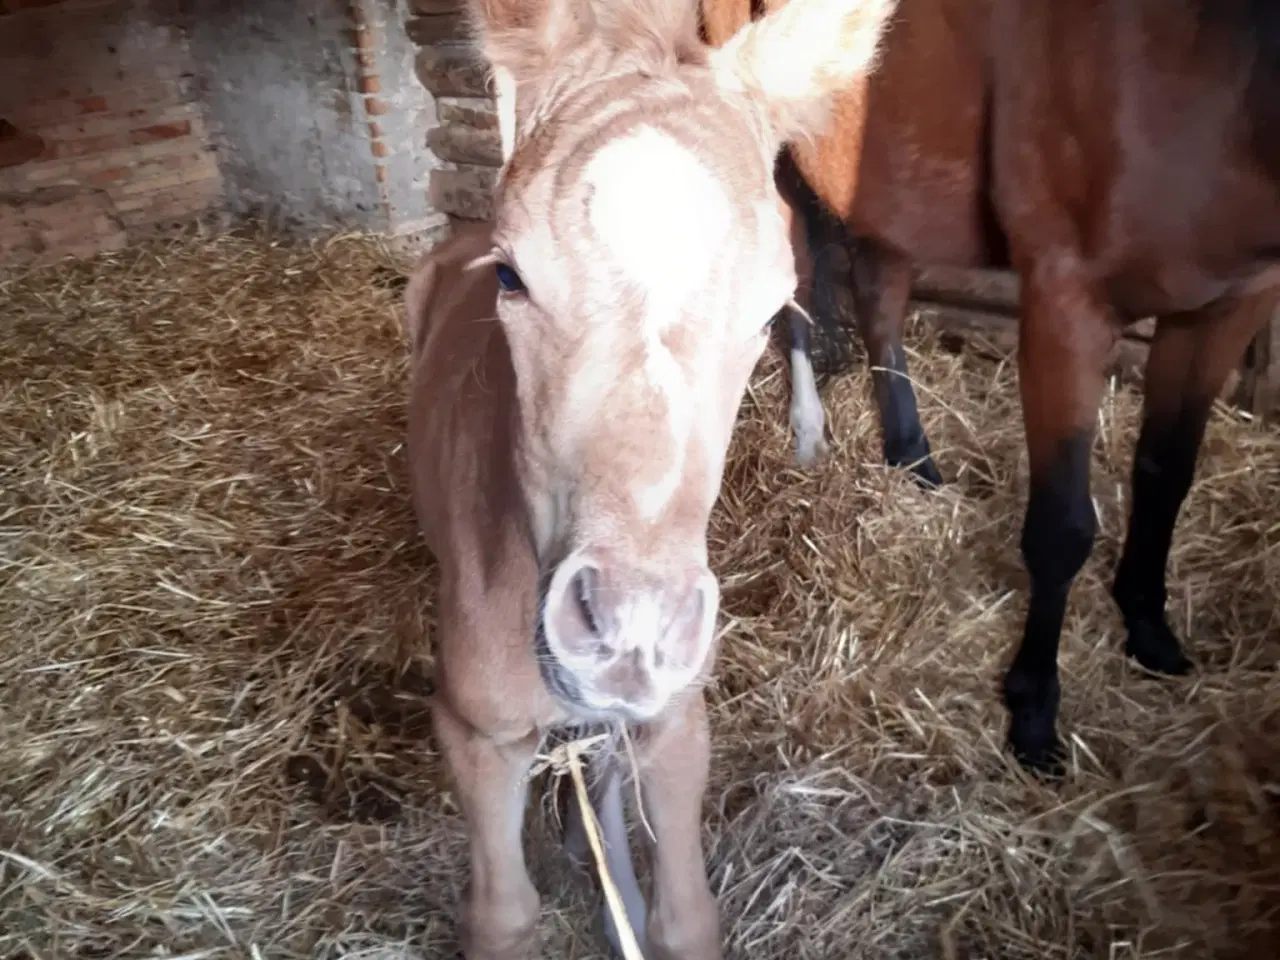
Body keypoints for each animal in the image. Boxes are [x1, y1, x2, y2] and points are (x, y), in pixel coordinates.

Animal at [407, 1, 901, 960]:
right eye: (512, 276)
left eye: (771, 307)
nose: (630, 632)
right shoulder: (474, 731)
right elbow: (501, 916)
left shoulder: (678, 723)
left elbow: (687, 915)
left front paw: (633, 902)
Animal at [706, 0, 1280, 773]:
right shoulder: (1068, 303)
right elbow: (1063, 527)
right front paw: (1033, 710)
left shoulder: (1226, 306)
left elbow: (1166, 476)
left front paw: (1147, 624)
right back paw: (806, 434)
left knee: (877, 287)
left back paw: (913, 460)